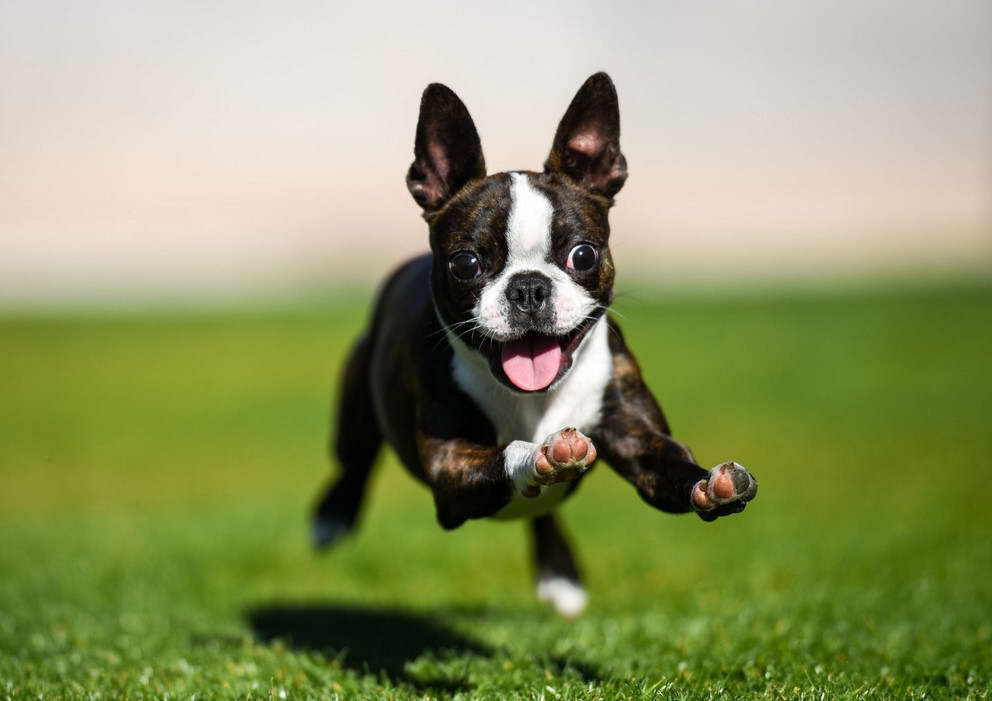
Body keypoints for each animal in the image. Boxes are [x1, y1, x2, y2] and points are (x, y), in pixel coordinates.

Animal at [314, 71, 756, 616]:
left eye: (583, 255)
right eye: (466, 263)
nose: (528, 288)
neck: (534, 399)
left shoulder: (638, 439)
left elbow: (670, 465)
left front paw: (711, 484)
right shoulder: (450, 467)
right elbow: (510, 452)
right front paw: (542, 454)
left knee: (542, 513)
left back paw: (558, 574)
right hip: (356, 409)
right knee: (352, 462)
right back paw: (331, 518)